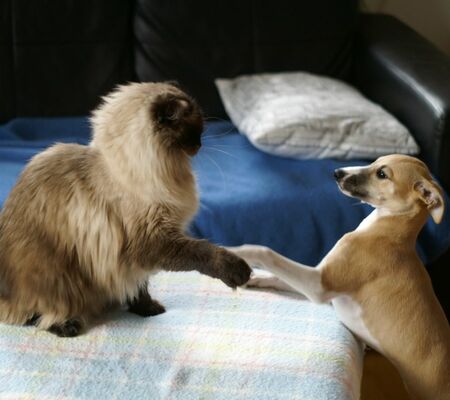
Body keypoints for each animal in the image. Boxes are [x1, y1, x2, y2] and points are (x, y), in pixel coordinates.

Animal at [0, 82, 251, 337]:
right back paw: (67, 326)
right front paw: (240, 272)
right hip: (57, 279)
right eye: (194, 132)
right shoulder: (151, 242)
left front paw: (149, 310)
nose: (199, 145)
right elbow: (203, 251)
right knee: (35, 315)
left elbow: (139, 288)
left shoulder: (133, 259)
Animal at [230, 155, 450, 400]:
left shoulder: (319, 285)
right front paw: (252, 278)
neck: (388, 231)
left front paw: (233, 251)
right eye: (375, 161)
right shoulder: (322, 278)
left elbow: (265, 252)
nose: (336, 173)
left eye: (382, 174)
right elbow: (277, 276)